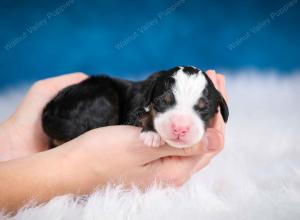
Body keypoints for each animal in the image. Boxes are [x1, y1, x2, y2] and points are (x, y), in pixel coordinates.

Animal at [42, 65, 229, 148]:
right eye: (162, 101)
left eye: (204, 109)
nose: (180, 128)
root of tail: (49, 110)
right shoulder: (134, 111)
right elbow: (144, 115)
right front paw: (152, 134)